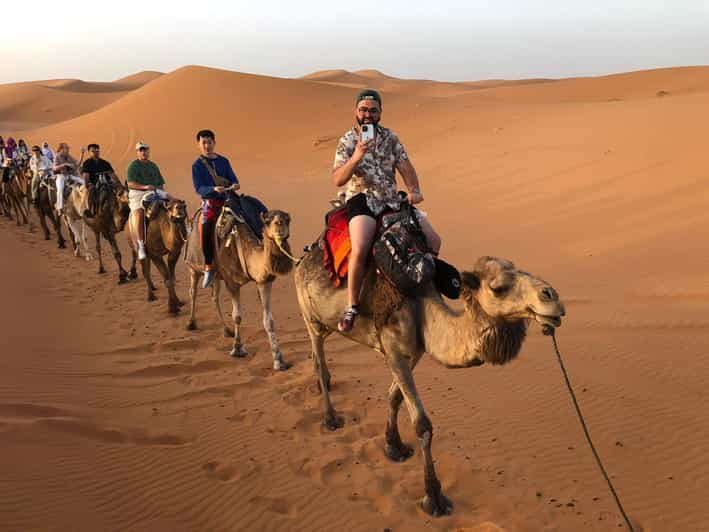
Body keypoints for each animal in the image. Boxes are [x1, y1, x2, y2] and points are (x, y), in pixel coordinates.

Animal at [185, 208, 294, 370]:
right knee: (193, 292)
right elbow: (237, 316)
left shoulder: (264, 281)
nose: (280, 224)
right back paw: (191, 323)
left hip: (216, 274)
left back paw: (227, 330)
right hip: (193, 267)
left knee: (214, 296)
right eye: (267, 221)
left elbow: (269, 321)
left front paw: (279, 360)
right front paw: (237, 349)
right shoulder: (231, 282)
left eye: (288, 219)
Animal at [294, 251, 564, 516]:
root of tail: (301, 260)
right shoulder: (392, 351)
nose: (552, 297)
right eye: (498, 288)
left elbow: (395, 396)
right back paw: (331, 419)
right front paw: (434, 499)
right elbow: (423, 425)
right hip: (309, 317)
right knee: (318, 362)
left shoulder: (414, 352)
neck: (421, 309)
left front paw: (395, 447)